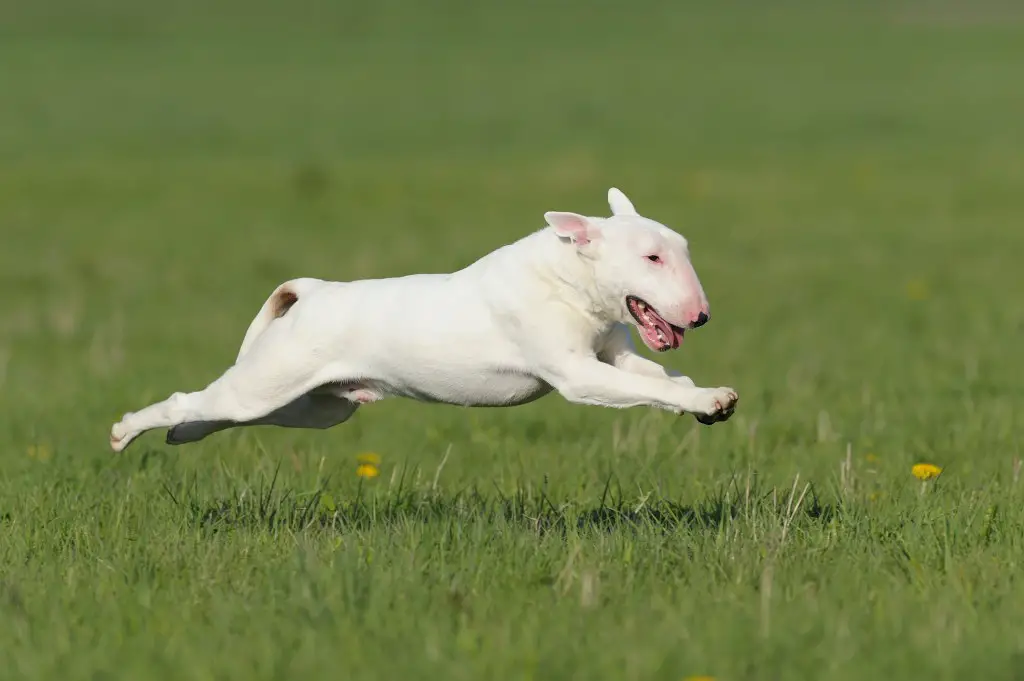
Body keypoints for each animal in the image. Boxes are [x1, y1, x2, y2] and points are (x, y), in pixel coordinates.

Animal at [110, 187, 737, 450]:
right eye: (651, 258)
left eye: (681, 248)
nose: (703, 316)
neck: (568, 279)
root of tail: (310, 293)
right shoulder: (577, 373)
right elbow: (643, 388)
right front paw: (706, 401)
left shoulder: (616, 353)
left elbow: (661, 378)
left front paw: (711, 398)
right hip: (268, 382)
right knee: (194, 399)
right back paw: (125, 432)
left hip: (319, 407)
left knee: (223, 414)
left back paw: (182, 435)